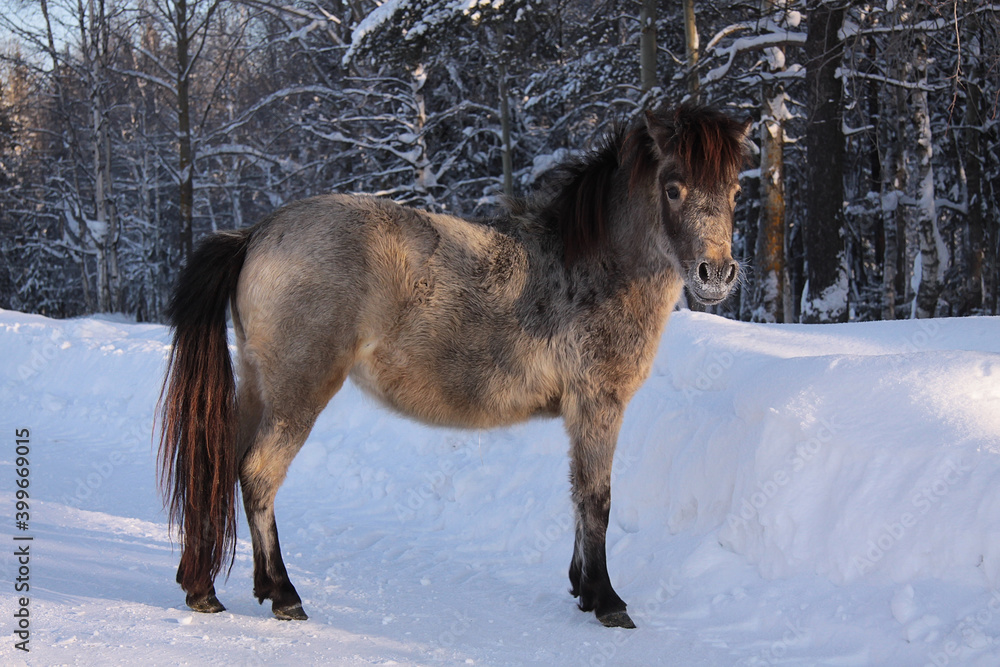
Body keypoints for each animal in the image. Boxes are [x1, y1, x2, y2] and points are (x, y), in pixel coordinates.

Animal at [158, 105, 752, 632]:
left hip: (258, 385)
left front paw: (582, 588)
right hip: (298, 391)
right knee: (258, 474)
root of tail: (257, 233)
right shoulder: (598, 404)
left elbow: (579, 496)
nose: (716, 274)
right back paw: (283, 594)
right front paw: (606, 600)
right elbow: (597, 498)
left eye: (734, 192)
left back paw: (206, 590)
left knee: (220, 465)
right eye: (673, 187)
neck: (592, 265)